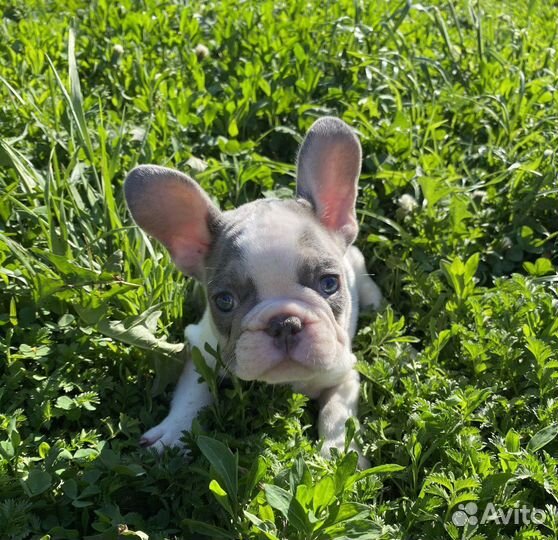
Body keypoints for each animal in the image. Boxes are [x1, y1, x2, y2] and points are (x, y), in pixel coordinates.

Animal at [124, 116, 382, 466]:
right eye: (224, 301)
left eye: (329, 283)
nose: (285, 323)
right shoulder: (200, 349)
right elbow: (192, 393)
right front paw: (173, 433)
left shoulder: (344, 374)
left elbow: (337, 414)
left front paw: (341, 453)